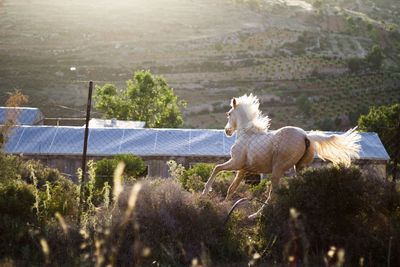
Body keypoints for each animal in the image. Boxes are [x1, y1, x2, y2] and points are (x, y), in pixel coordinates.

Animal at [202, 94, 360, 203]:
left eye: (228, 114)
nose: (227, 131)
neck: (247, 133)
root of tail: (306, 136)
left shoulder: (235, 162)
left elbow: (216, 168)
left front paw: (205, 192)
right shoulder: (243, 169)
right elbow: (231, 188)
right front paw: (224, 204)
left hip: (278, 169)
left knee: (273, 194)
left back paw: (256, 216)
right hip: (299, 168)